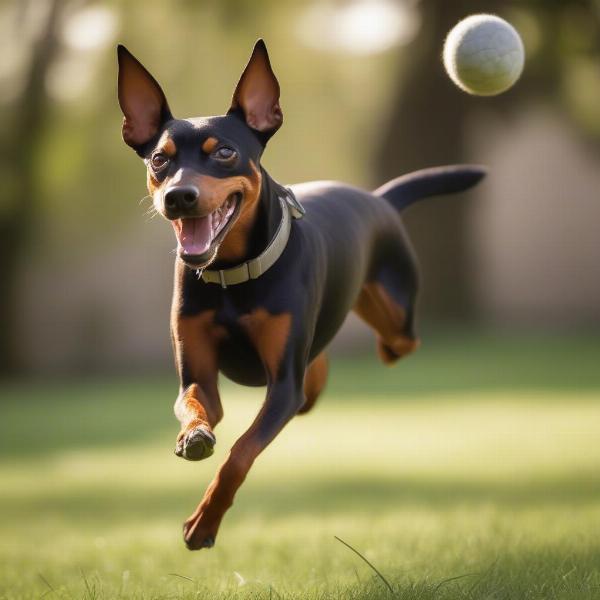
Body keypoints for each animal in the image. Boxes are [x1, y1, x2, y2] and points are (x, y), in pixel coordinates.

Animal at [117, 39, 488, 552]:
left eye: (225, 152)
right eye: (159, 159)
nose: (178, 196)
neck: (233, 275)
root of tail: (380, 200)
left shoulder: (283, 387)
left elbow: (240, 453)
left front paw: (204, 524)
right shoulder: (200, 375)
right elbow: (194, 407)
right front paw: (193, 438)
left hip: (395, 318)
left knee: (392, 343)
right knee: (319, 368)